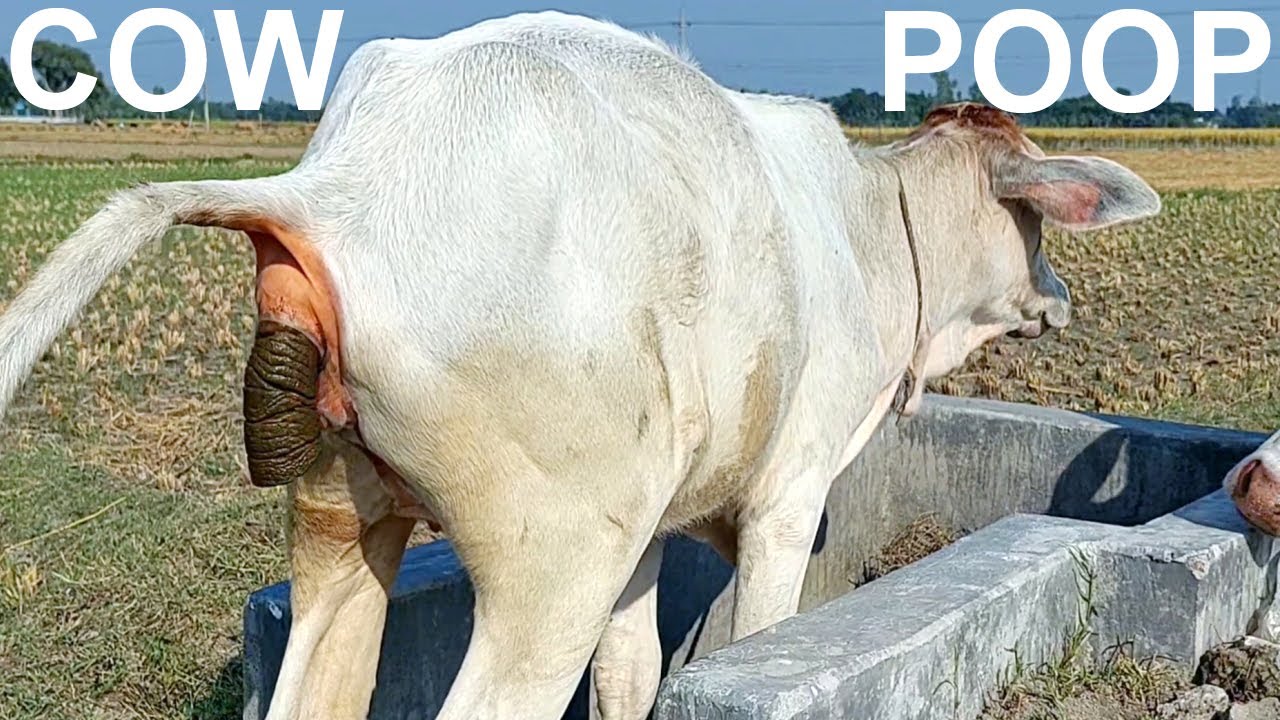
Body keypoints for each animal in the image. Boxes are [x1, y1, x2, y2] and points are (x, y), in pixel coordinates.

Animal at [0, 12, 1160, 720]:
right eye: (1032, 218)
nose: (1056, 299)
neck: (876, 227)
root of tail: (337, 191)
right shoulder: (786, 499)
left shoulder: (646, 536)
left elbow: (632, 672)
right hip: (550, 561)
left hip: (340, 519)